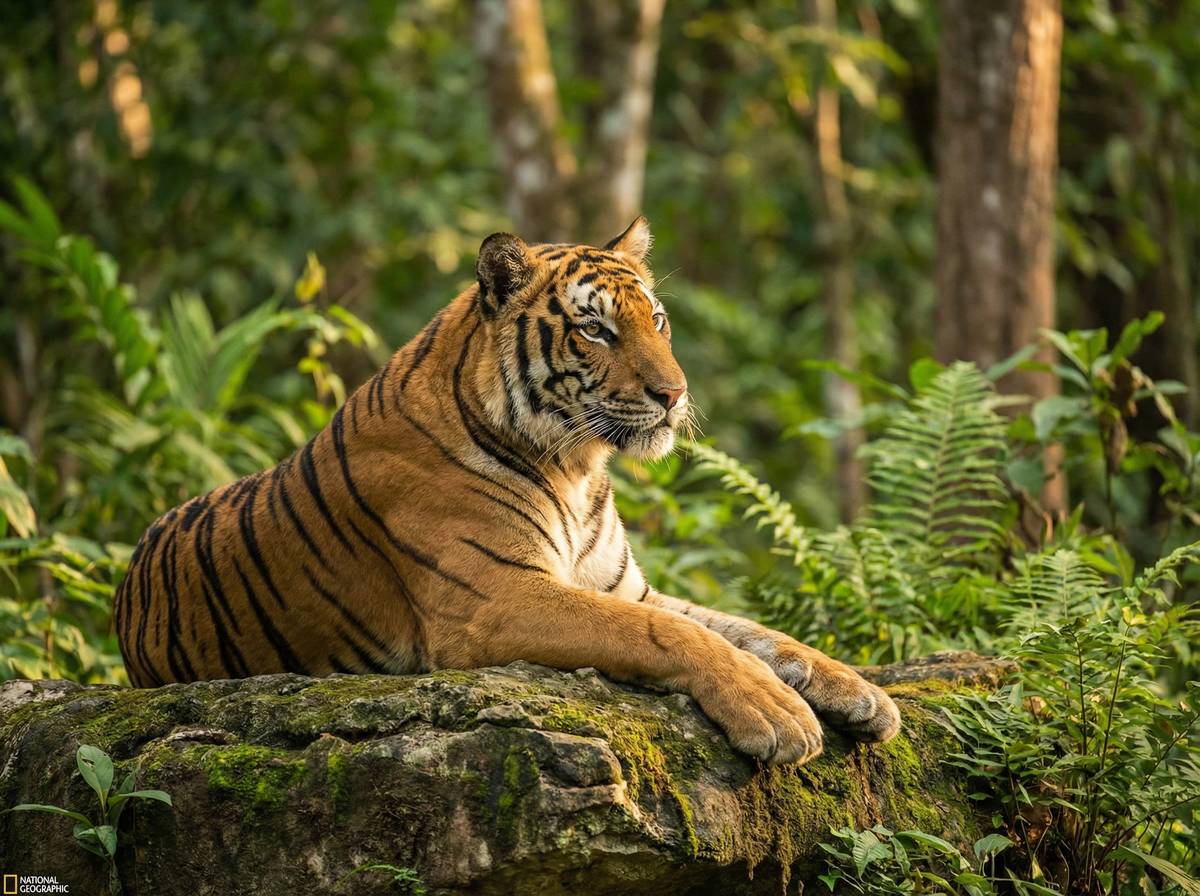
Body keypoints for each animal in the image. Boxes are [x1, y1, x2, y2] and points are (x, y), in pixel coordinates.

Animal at [114, 217, 900, 765]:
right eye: (595, 330)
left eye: (657, 320)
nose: (674, 395)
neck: (578, 468)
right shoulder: (493, 599)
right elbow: (671, 634)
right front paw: (776, 714)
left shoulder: (624, 586)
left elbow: (753, 631)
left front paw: (862, 694)